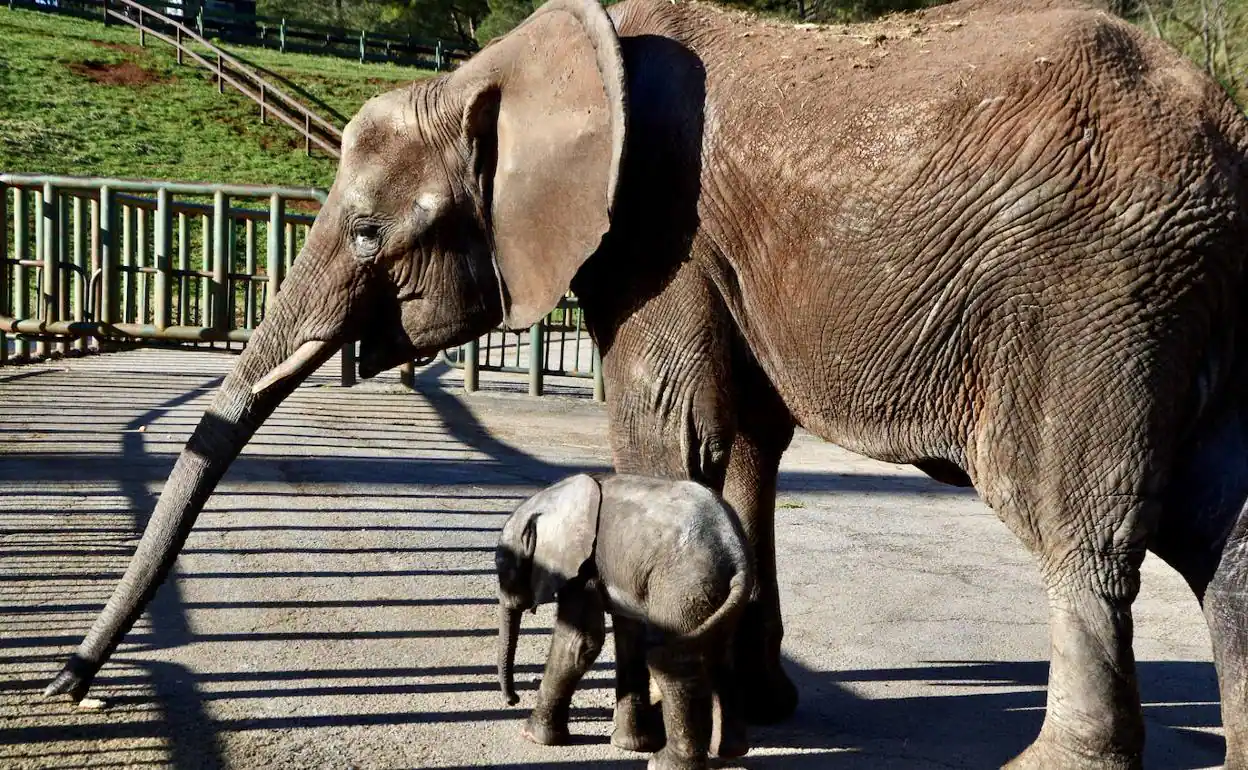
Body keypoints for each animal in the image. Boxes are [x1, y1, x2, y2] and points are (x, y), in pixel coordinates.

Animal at [494, 471, 748, 768]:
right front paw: (629, 745)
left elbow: (579, 642)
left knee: (672, 660)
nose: (513, 700)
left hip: (682, 587)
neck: (554, 496)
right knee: (720, 654)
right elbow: (629, 641)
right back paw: (731, 751)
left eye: (500, 563)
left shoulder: (586, 567)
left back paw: (664, 762)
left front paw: (533, 736)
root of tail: (736, 556)